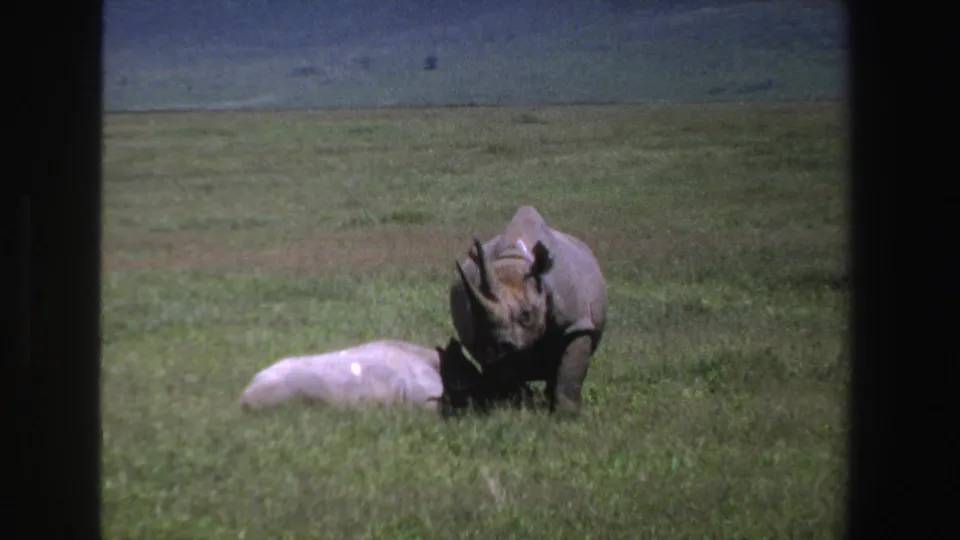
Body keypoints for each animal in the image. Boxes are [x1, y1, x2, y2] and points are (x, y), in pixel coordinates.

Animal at [449, 206, 608, 416]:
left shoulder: (576, 323)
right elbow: (503, 374)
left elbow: (570, 372)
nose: (496, 346)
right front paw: (506, 410)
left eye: (526, 315)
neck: (516, 260)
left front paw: (566, 417)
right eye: (478, 318)